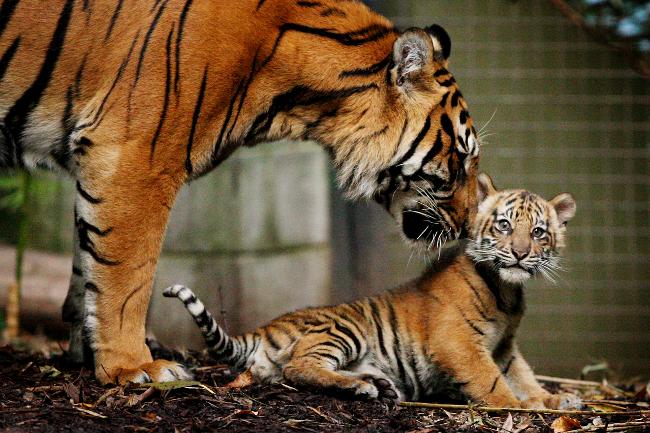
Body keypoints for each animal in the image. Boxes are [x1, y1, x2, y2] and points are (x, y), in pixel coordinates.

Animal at [0, 0, 476, 384]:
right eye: (463, 157)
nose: (469, 225)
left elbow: (88, 267)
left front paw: (87, 354)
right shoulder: (134, 156)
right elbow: (125, 277)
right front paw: (134, 367)